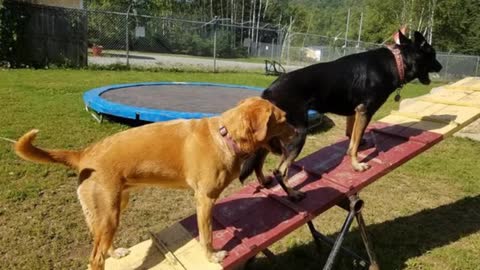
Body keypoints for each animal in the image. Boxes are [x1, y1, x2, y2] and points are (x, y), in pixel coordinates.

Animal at [13, 97, 294, 270]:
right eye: (283, 119)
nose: (300, 129)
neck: (225, 135)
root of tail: (84, 153)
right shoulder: (204, 200)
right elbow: (207, 236)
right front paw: (212, 256)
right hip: (108, 214)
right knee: (95, 259)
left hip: (113, 210)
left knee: (101, 245)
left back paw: (115, 252)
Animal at [240, 31, 442, 200]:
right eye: (432, 54)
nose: (440, 67)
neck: (396, 62)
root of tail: (268, 92)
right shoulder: (365, 110)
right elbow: (354, 143)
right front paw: (357, 165)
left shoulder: (355, 112)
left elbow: (352, 137)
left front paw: (356, 150)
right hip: (298, 134)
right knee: (279, 170)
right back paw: (293, 193)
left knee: (259, 162)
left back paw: (264, 181)